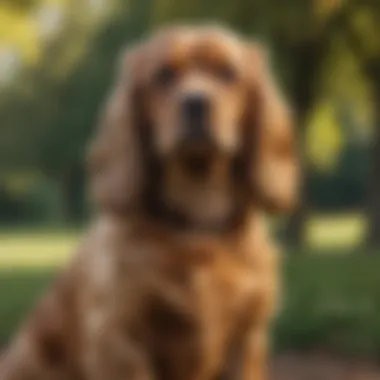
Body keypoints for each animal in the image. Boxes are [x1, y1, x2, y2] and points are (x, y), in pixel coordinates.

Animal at [0, 26, 296, 380]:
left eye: (228, 73)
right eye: (163, 75)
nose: (196, 103)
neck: (195, 225)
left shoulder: (248, 339)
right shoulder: (121, 340)